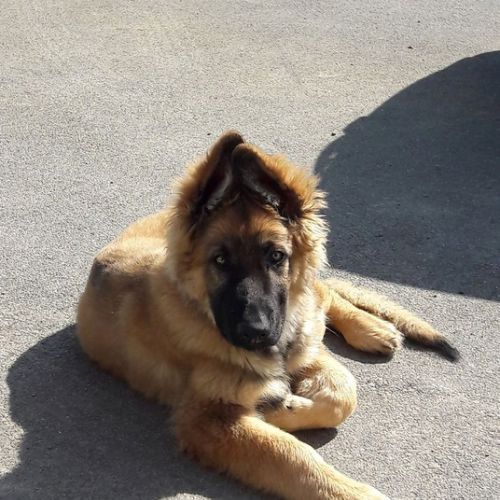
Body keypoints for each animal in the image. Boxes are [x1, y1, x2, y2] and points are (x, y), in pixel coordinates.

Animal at [77, 131, 458, 499]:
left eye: (276, 256)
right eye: (220, 261)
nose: (255, 332)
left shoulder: (303, 347)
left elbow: (343, 394)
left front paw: (284, 406)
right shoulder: (205, 419)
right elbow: (290, 455)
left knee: (327, 292)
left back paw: (372, 329)